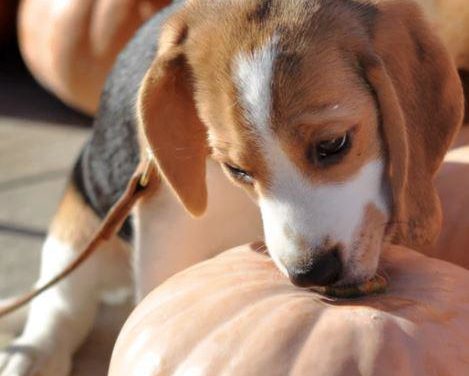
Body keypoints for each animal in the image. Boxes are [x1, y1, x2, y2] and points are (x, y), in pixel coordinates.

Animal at [0, 0, 460, 374]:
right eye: (236, 170)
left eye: (333, 144)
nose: (311, 273)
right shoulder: (167, 235)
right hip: (78, 227)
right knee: (61, 307)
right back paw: (33, 355)